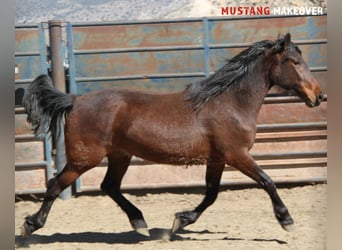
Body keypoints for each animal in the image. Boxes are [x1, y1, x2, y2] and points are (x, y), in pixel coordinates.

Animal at [21, 33, 324, 236]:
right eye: (294, 62)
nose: (319, 96)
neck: (229, 103)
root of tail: (75, 100)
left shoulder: (217, 159)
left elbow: (211, 194)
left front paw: (181, 220)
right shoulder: (237, 155)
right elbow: (268, 181)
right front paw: (287, 221)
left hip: (120, 155)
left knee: (109, 186)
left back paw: (140, 224)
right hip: (85, 158)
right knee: (55, 185)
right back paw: (30, 226)